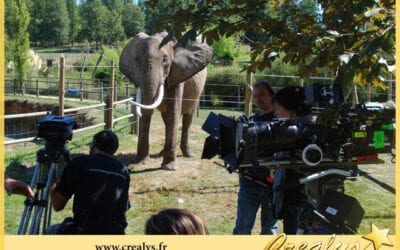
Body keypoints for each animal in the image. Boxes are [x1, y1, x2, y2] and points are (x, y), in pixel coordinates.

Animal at [119, 32, 212, 170]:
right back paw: (162, 153)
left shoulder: (177, 72)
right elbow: (148, 111)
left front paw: (169, 167)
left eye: (164, 59)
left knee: (187, 118)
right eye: (137, 60)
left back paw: (188, 154)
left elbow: (173, 111)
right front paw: (141, 162)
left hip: (198, 91)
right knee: (166, 118)